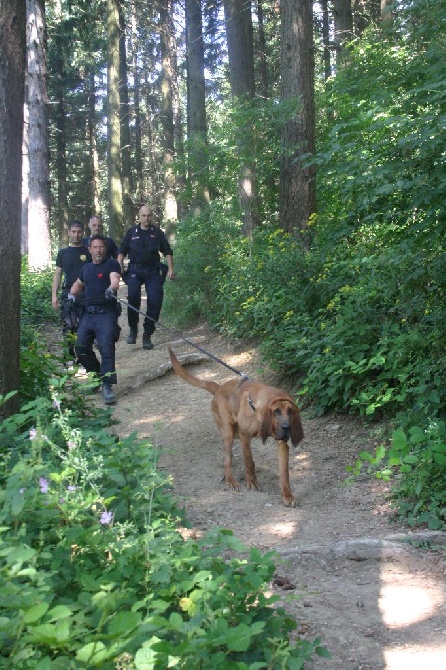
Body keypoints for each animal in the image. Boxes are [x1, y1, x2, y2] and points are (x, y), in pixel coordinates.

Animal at [169, 350, 304, 506]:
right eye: (276, 411)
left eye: (290, 411)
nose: (287, 427)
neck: (256, 407)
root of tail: (219, 388)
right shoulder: (245, 436)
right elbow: (249, 461)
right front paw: (252, 482)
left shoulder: (282, 443)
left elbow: (284, 473)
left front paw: (287, 495)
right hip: (229, 432)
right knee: (227, 459)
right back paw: (230, 480)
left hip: (235, 433)